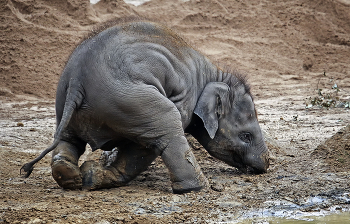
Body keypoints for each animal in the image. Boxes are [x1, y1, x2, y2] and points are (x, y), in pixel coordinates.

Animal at [21, 19, 268, 194]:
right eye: (246, 136)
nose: (266, 166)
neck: (213, 73)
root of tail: (77, 79)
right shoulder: (183, 98)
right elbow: (146, 145)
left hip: (67, 103)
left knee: (68, 139)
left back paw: (76, 177)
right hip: (130, 99)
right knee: (167, 128)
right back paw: (197, 188)